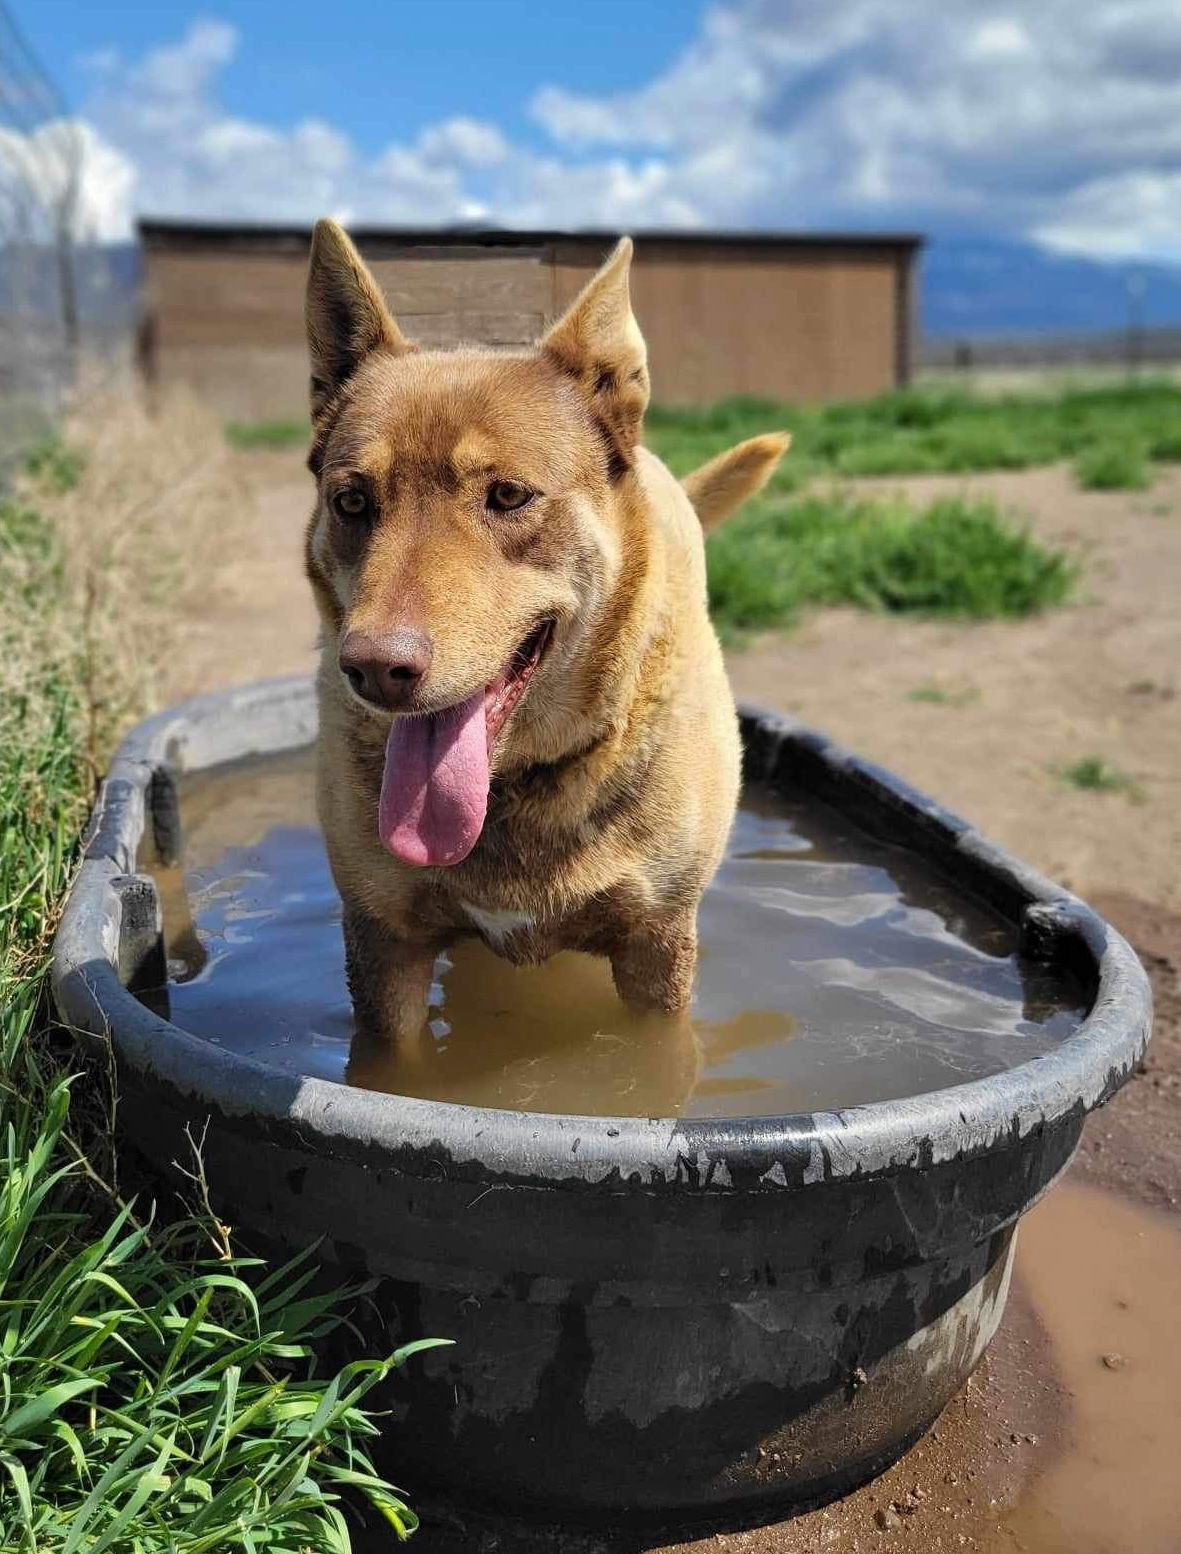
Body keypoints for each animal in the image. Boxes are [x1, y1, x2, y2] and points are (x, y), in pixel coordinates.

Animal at [299, 219, 789, 1038]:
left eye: (507, 495)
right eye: (352, 501)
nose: (374, 669)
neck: (519, 779)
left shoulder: (658, 947)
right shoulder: (383, 941)